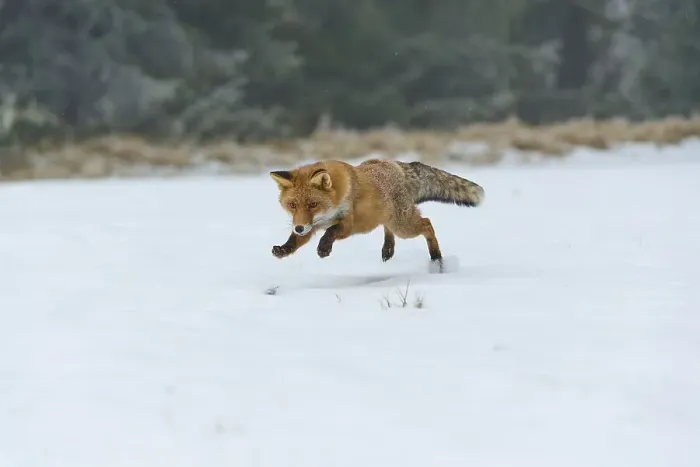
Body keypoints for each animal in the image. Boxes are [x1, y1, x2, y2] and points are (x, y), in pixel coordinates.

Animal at [269, 158, 484, 272]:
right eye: (292, 205)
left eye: (313, 204)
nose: (299, 228)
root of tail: (395, 164)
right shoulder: (309, 225)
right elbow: (294, 241)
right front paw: (284, 249)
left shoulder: (347, 222)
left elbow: (331, 231)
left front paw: (324, 248)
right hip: (390, 219)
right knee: (388, 228)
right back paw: (388, 249)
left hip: (404, 225)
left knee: (426, 224)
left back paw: (436, 259)